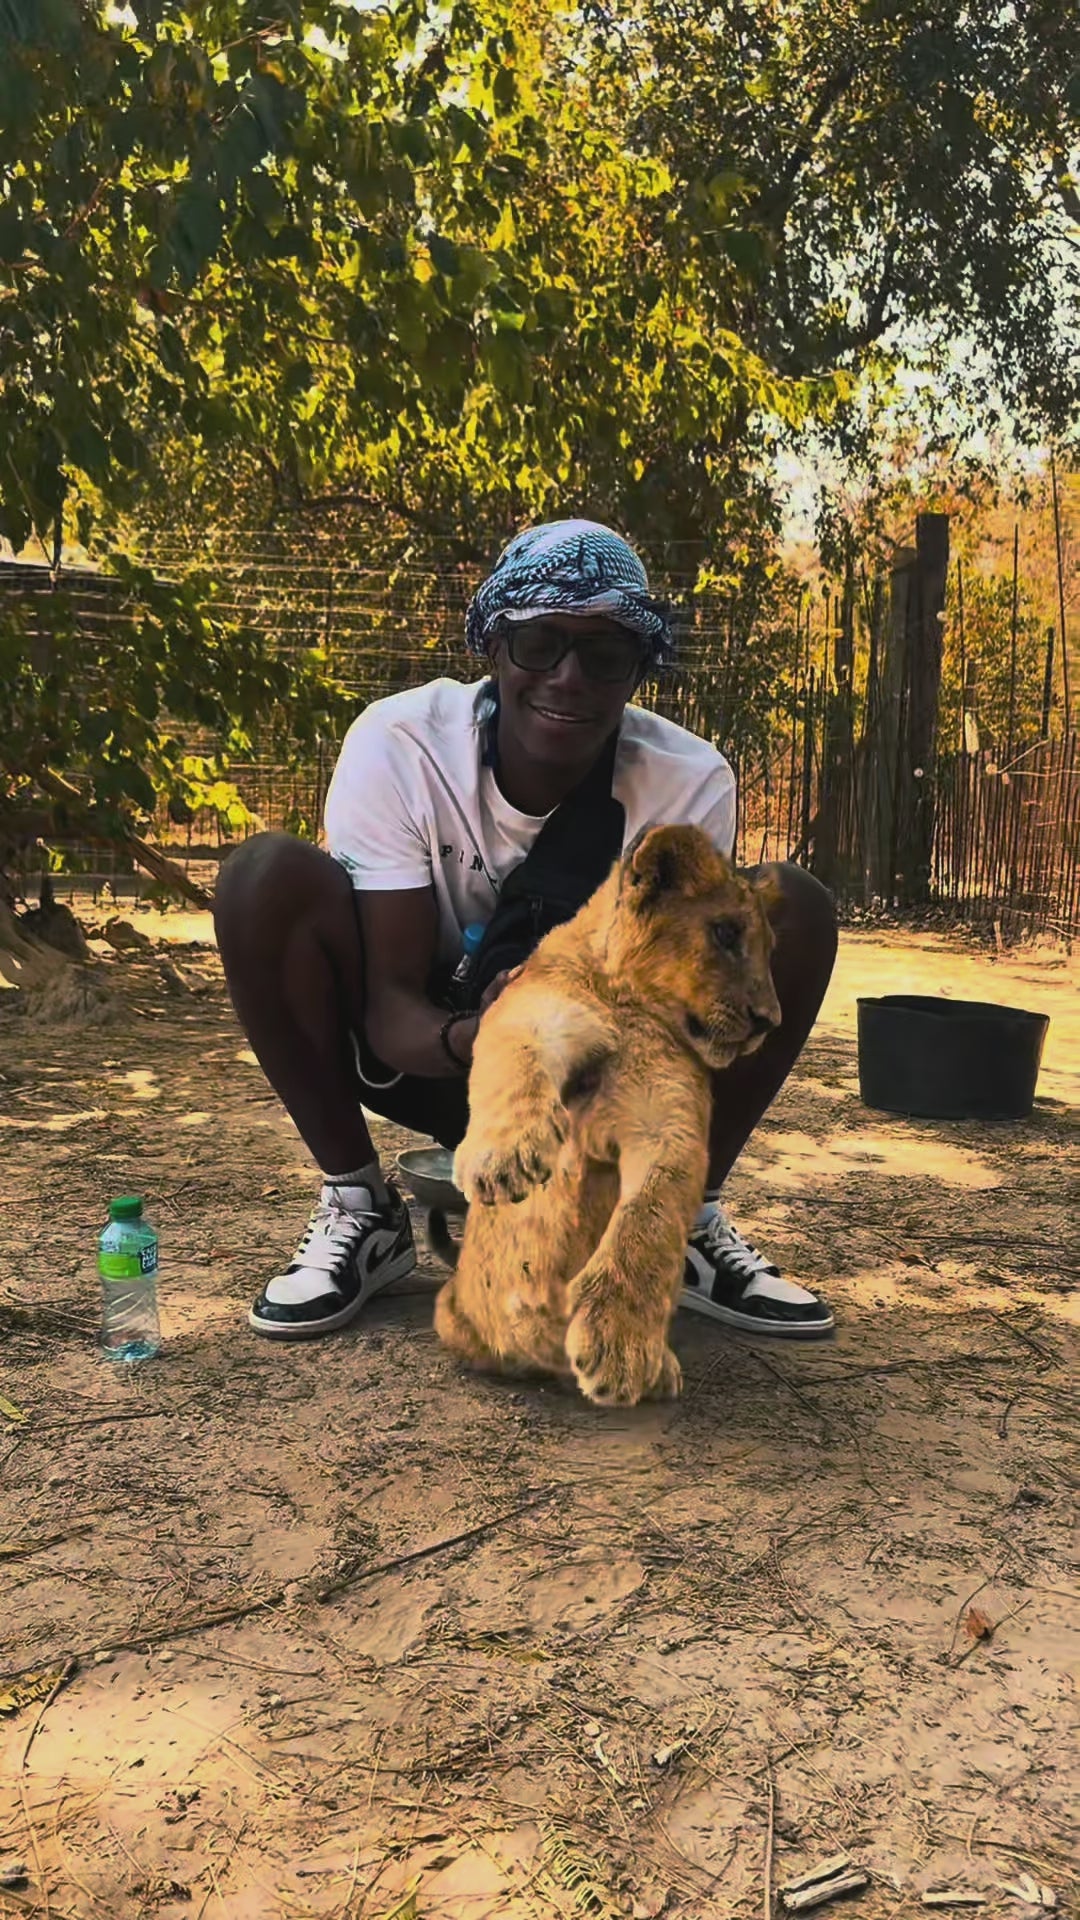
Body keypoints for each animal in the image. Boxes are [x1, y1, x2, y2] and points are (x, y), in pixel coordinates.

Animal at [433, 824, 782, 1406]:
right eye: (726, 933)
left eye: (766, 947)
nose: (769, 1022)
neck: (627, 1003)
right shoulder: (531, 1011)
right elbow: (514, 1063)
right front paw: (505, 1162)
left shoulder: (667, 1126)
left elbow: (648, 1224)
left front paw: (619, 1347)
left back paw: (659, 1370)